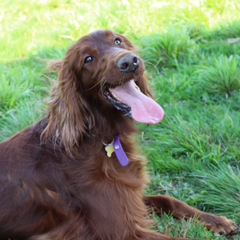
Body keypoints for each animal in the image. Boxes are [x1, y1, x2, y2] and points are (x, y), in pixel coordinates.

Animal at [0, 30, 236, 240]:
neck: (98, 140)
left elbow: (168, 199)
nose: (130, 62)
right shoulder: (123, 231)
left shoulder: (131, 196)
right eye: (88, 58)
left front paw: (217, 220)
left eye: (117, 40)